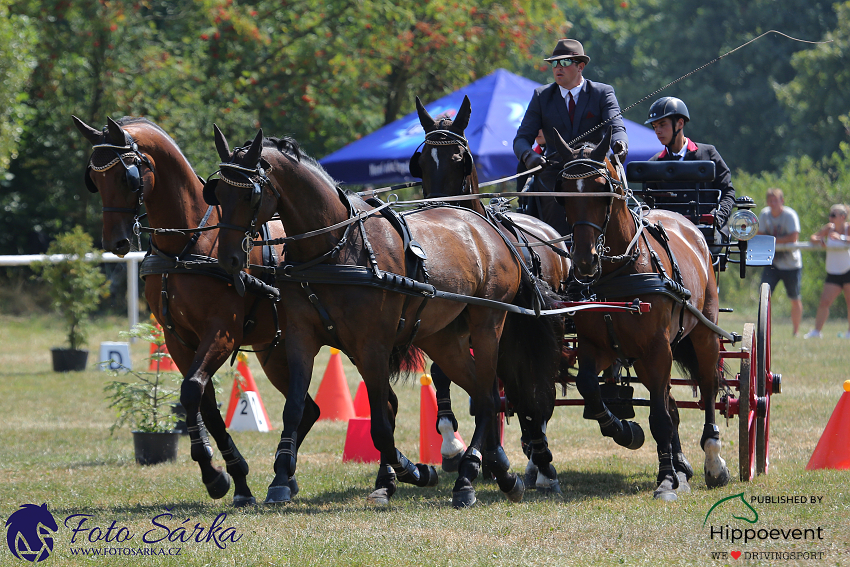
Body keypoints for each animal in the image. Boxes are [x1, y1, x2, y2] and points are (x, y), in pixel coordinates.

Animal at [71, 115, 318, 506]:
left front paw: (214, 475)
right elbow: (207, 405)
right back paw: (286, 478)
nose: (116, 242)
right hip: (275, 351)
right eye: (94, 179)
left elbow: (190, 391)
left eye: (127, 177)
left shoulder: (221, 332)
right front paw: (235, 479)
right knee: (308, 408)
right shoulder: (180, 339)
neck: (185, 245)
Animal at [205, 126, 564, 508]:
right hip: (442, 340)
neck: (336, 247)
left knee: (487, 396)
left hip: (487, 325)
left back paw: (471, 477)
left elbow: (380, 424)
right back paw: (498, 473)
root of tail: (491, 229)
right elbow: (296, 408)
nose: (228, 259)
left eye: (250, 195)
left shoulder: (373, 345)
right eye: (218, 193)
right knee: (485, 396)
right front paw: (281, 478)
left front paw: (413, 471)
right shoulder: (301, 338)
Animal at [410, 94, 568, 492]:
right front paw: (452, 446)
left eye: (460, 161)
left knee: (534, 380)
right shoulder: (449, 327)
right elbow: (442, 374)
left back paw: (538, 455)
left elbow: (514, 386)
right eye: (422, 163)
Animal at [548, 126, 728, 500]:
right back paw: (682, 466)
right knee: (672, 403)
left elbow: (659, 417)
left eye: (604, 193)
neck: (618, 269)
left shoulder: (656, 349)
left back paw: (712, 461)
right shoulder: (597, 346)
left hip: (702, 335)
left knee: (707, 389)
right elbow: (590, 387)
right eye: (562, 195)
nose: (584, 261)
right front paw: (623, 431)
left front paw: (666, 480)